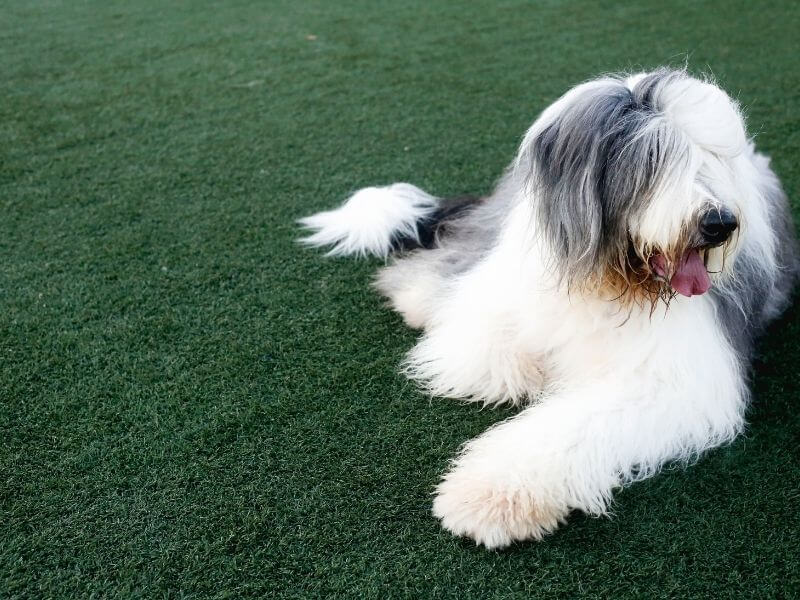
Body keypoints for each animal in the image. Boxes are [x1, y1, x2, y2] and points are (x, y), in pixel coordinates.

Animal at [296, 68, 796, 548]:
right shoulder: (501, 294)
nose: (721, 223)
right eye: (654, 159)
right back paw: (417, 294)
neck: (609, 282)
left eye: (712, 159)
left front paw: (489, 495)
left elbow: (571, 421)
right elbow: (482, 347)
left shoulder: (678, 376)